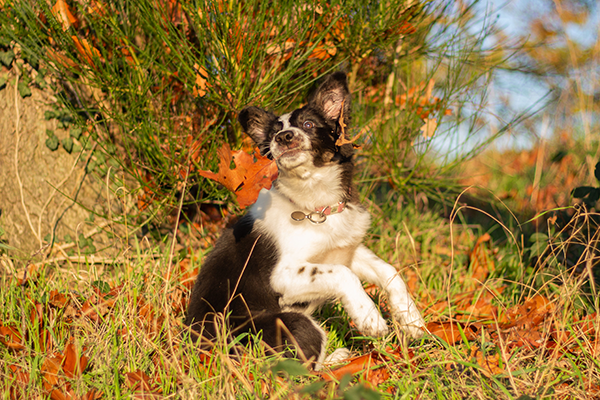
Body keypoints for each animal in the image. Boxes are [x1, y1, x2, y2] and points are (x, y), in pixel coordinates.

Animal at [185, 71, 424, 366]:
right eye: (273, 133)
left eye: (309, 124)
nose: (284, 137)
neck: (315, 206)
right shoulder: (285, 275)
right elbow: (343, 275)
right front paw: (369, 317)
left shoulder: (345, 251)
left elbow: (389, 270)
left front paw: (411, 319)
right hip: (294, 322)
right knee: (304, 367)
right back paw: (340, 357)